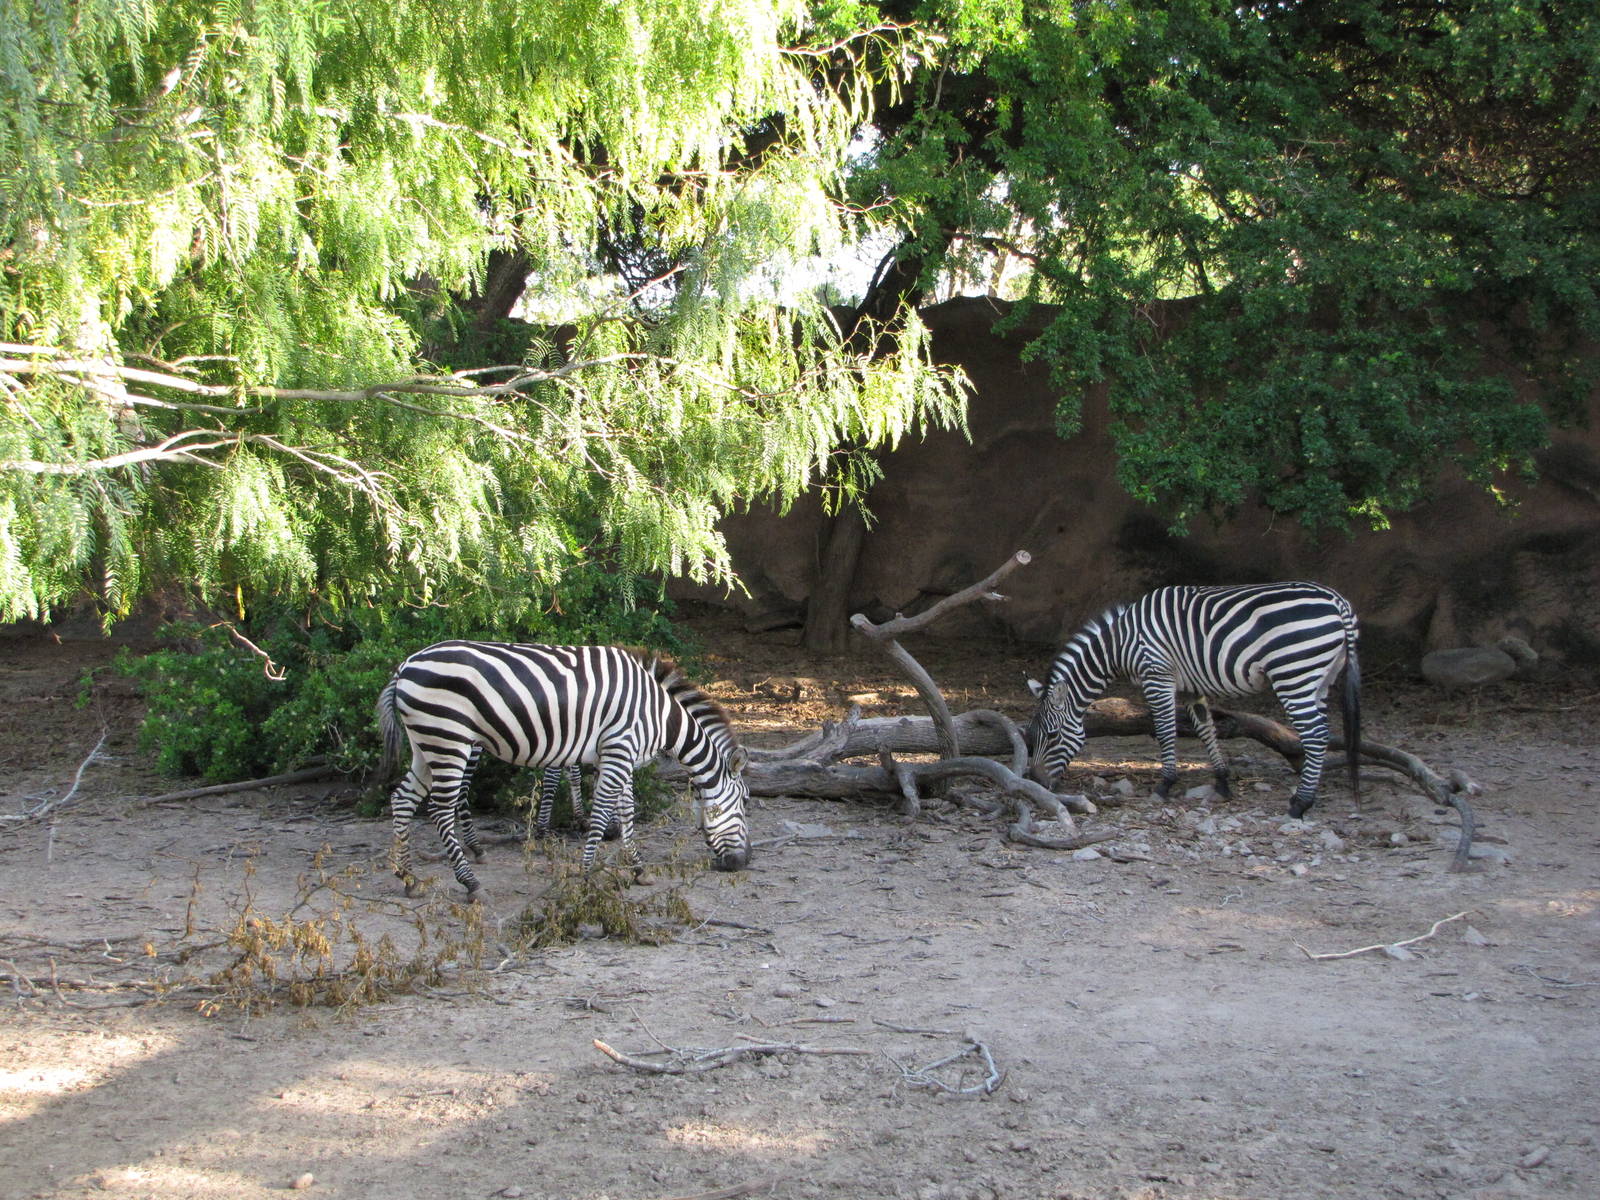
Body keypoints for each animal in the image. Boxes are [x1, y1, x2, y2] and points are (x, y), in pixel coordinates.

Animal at [376, 641, 751, 899]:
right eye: (745, 802)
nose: (743, 863)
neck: (657, 713)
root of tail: (405, 665)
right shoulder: (618, 751)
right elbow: (602, 815)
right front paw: (586, 876)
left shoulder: (621, 755)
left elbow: (627, 813)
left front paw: (638, 870)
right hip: (448, 740)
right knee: (440, 809)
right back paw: (470, 883)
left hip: (426, 743)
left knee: (403, 799)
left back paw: (408, 879)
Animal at [1026, 582, 1361, 817]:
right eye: (1031, 736)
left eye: (1052, 735)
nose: (1036, 782)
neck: (1120, 643)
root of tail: (1337, 601)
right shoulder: (1191, 686)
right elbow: (1205, 729)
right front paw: (1222, 783)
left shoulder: (1157, 676)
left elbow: (1164, 731)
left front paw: (1164, 785)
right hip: (1320, 678)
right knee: (1321, 732)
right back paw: (1305, 795)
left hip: (1294, 672)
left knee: (1315, 735)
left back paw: (1300, 803)